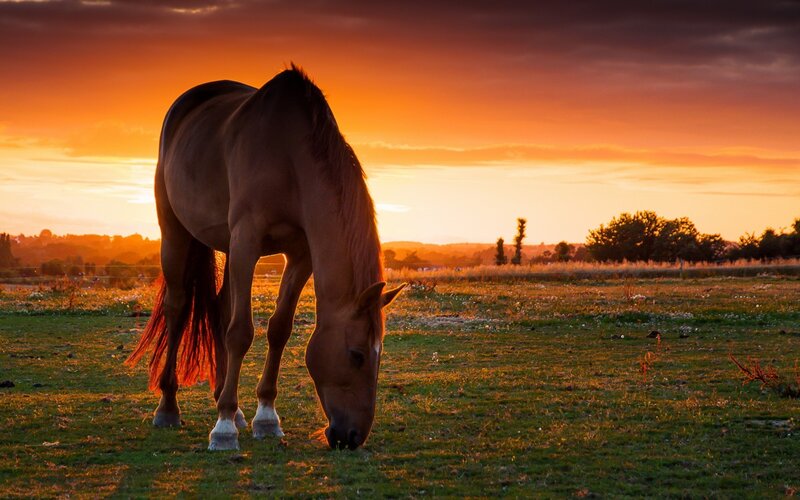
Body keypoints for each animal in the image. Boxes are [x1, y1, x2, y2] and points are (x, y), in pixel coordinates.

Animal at [126, 65, 406, 451]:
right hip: (176, 233)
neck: (289, 157)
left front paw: (265, 417)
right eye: (357, 355)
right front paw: (223, 428)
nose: (352, 437)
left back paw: (230, 403)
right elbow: (241, 332)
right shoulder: (247, 240)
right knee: (178, 308)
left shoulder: (300, 254)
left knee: (220, 309)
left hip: (227, 247)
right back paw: (169, 408)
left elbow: (278, 329)